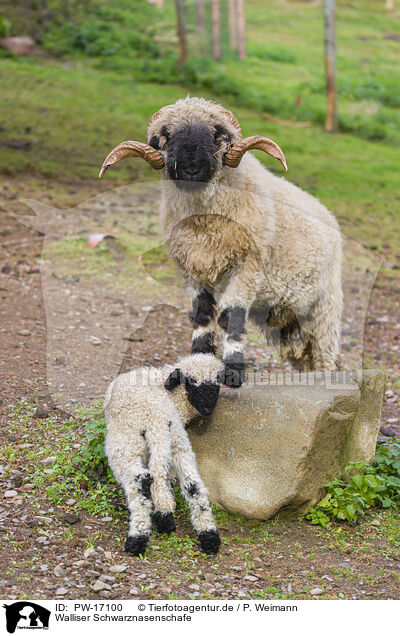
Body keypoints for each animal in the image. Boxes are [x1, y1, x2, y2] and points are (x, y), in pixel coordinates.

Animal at [98, 98, 342, 388]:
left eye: (217, 134)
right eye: (166, 135)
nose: (191, 167)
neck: (205, 225)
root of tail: (327, 212)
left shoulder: (247, 268)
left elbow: (231, 316)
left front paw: (234, 373)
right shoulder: (190, 269)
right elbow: (202, 315)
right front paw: (197, 360)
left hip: (325, 307)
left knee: (325, 353)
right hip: (288, 317)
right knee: (304, 352)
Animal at [104, 352, 225, 556]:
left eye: (216, 383)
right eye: (191, 382)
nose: (209, 407)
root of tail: (156, 421)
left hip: (125, 447)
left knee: (142, 481)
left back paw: (137, 538)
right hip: (178, 442)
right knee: (193, 485)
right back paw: (208, 537)